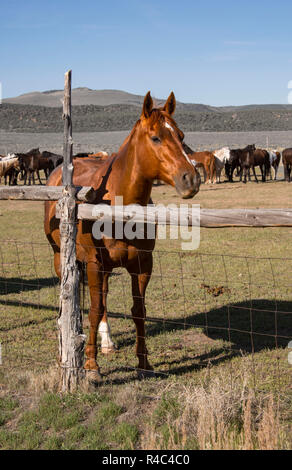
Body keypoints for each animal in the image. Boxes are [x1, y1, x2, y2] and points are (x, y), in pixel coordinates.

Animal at [44, 92, 201, 382]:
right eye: (155, 137)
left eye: (181, 135)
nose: (191, 179)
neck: (119, 205)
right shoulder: (94, 264)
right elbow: (93, 311)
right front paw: (91, 366)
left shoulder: (142, 265)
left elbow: (138, 312)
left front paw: (144, 362)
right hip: (61, 258)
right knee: (71, 303)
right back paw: (67, 348)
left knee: (103, 298)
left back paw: (106, 342)